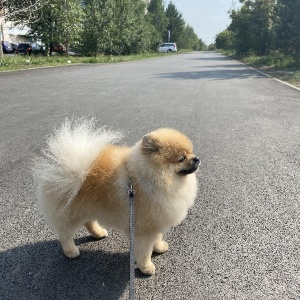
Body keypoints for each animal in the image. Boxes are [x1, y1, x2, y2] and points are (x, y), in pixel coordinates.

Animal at [33, 118, 199, 276]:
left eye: (191, 152)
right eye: (182, 158)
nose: (196, 158)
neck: (148, 178)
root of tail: (61, 166)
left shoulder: (155, 222)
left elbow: (156, 238)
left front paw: (158, 247)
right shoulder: (143, 229)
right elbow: (144, 251)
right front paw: (146, 267)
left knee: (88, 222)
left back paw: (99, 233)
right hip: (69, 214)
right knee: (65, 234)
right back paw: (71, 251)